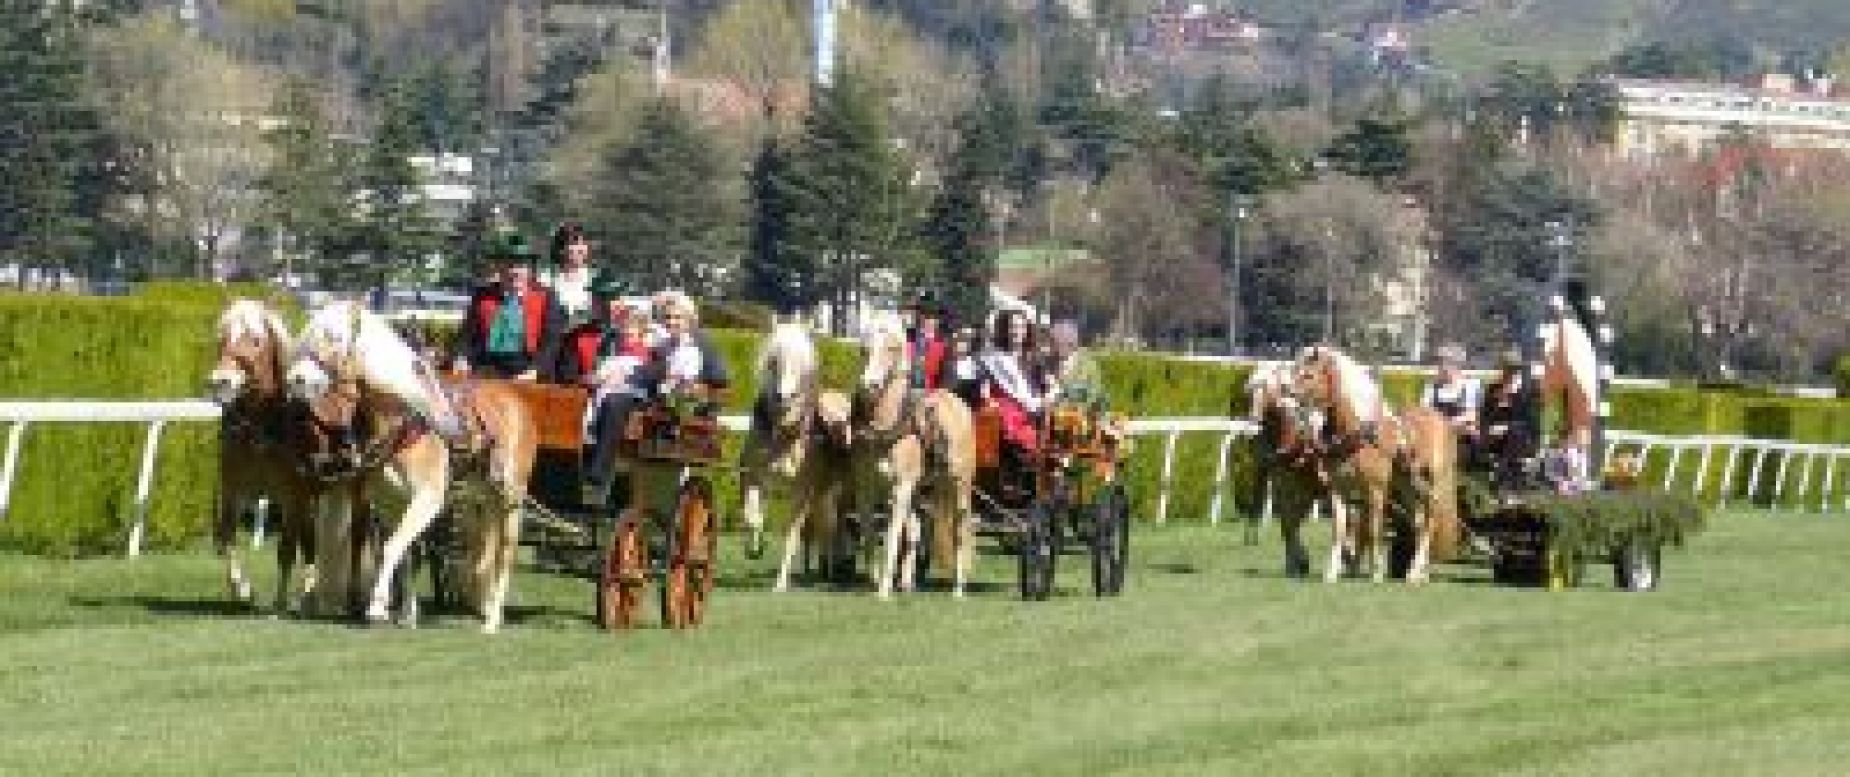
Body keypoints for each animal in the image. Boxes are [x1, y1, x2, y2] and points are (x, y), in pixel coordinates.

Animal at [284, 299, 540, 632]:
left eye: (334, 339)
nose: (295, 380)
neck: (403, 419)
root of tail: (516, 401)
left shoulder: (428, 498)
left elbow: (393, 547)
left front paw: (378, 608)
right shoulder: (390, 501)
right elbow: (405, 553)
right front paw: (406, 614)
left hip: (511, 498)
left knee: (504, 555)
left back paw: (493, 620)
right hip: (482, 500)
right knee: (483, 553)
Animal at [847, 312, 976, 599]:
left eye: (892, 348)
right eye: (864, 348)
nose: (869, 385)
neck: (888, 424)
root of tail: (958, 404)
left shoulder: (901, 486)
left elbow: (892, 536)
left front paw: (883, 589)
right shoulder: (866, 485)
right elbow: (870, 531)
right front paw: (875, 579)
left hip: (960, 484)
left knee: (960, 528)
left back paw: (959, 587)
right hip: (923, 487)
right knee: (916, 530)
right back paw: (907, 583)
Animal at [1243, 360, 1346, 580]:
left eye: (1267, 388)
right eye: (1249, 391)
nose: (1251, 428)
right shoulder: (1287, 486)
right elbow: (1289, 523)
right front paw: (1296, 562)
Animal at [1287, 345, 1457, 584]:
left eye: (1309, 375)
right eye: (1295, 370)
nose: (1287, 395)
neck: (1357, 433)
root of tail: (1440, 420)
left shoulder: (1375, 490)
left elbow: (1374, 528)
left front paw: (1376, 572)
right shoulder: (1338, 489)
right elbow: (1340, 528)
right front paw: (1332, 572)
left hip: (1432, 485)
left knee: (1430, 521)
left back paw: (1415, 572)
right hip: (1408, 487)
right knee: (1418, 522)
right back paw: (1419, 573)